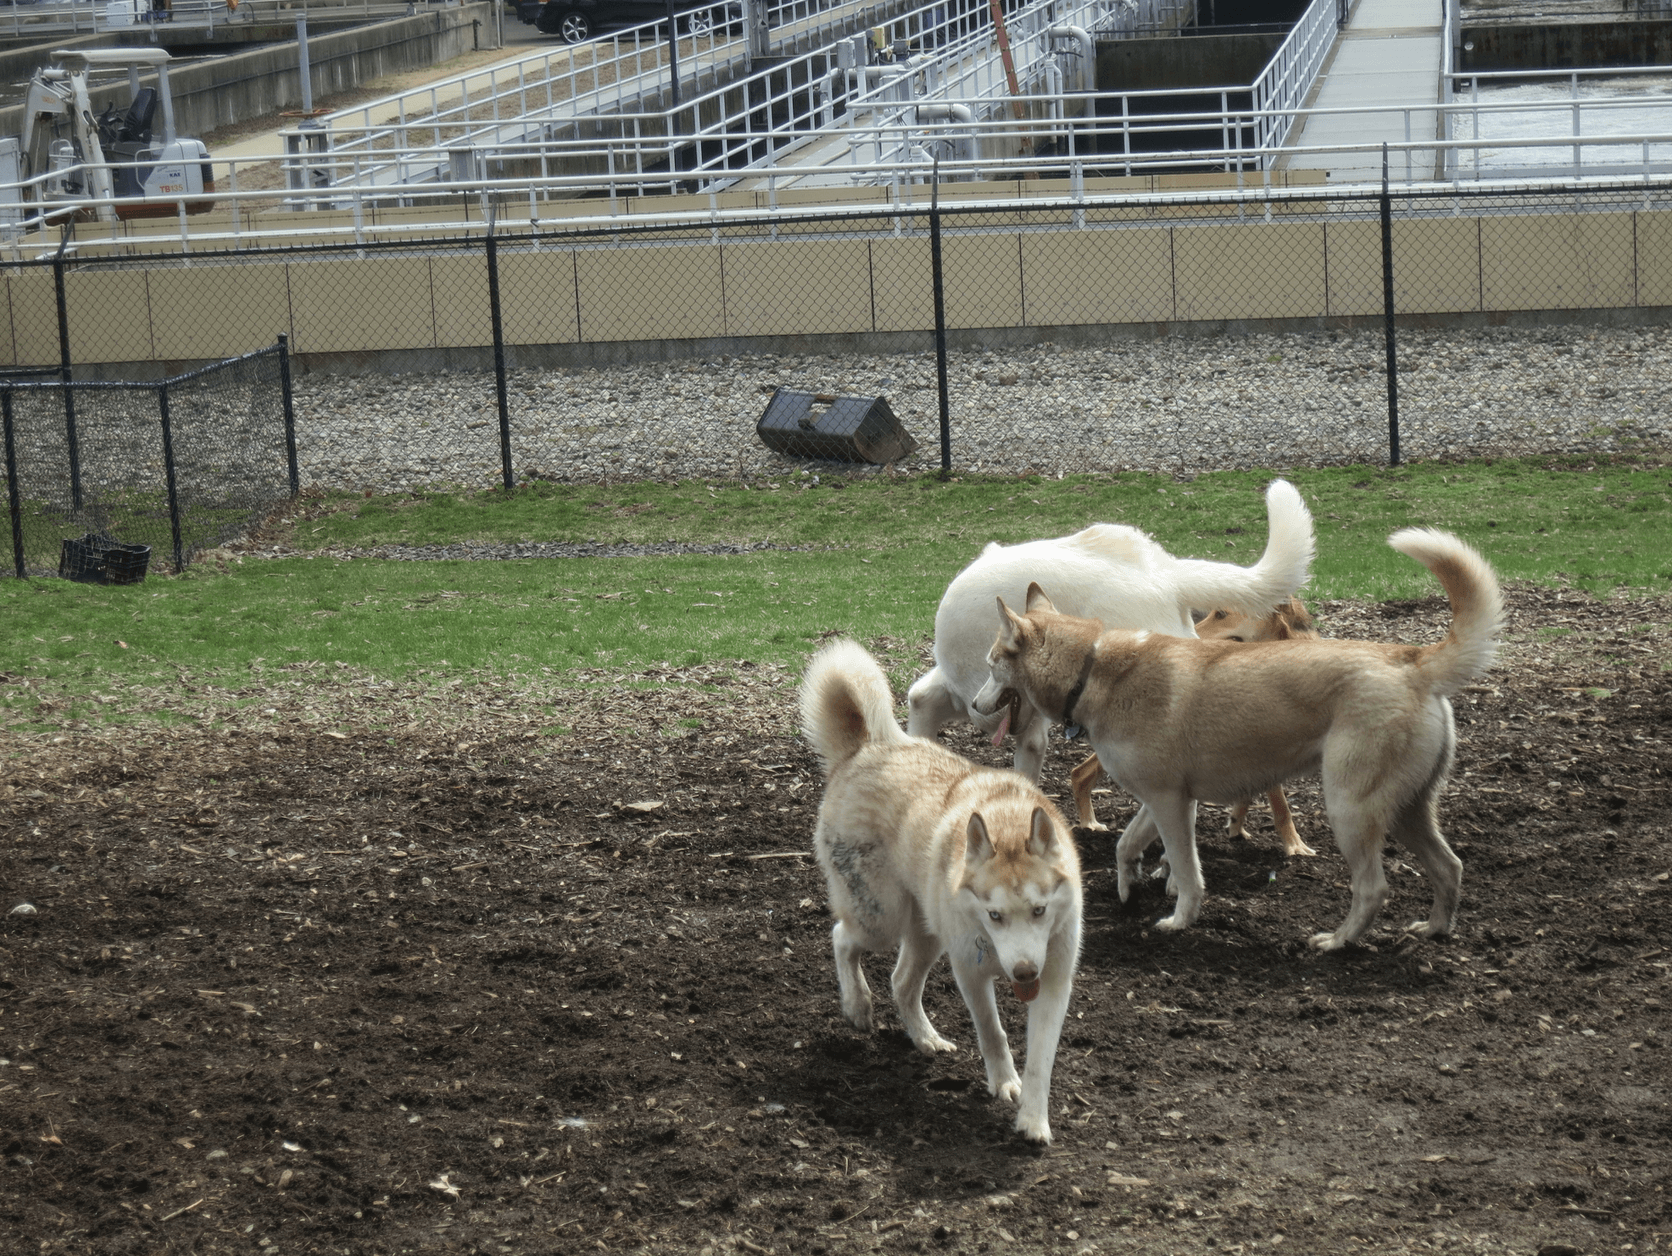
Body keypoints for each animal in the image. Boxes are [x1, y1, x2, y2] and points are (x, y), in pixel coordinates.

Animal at [799, 642, 1083, 1143]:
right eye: (993, 915)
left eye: (1040, 910)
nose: (1024, 972)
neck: (1007, 819)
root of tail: (863, 749)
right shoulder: (970, 972)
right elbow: (992, 1032)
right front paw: (1004, 1082)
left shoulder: (1054, 981)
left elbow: (1042, 1060)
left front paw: (1033, 1118)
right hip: (882, 916)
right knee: (842, 938)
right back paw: (857, 1005)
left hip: (926, 932)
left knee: (901, 983)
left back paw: (924, 1036)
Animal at [969, 531, 1504, 949]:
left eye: (993, 662)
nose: (974, 703)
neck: (1091, 669)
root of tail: (1413, 661)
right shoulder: (1163, 799)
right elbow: (1125, 845)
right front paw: (1127, 889)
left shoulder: (1170, 803)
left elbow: (1186, 871)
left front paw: (1179, 920)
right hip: (1409, 809)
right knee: (1450, 867)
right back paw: (1434, 929)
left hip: (1351, 809)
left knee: (1373, 889)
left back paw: (1337, 942)